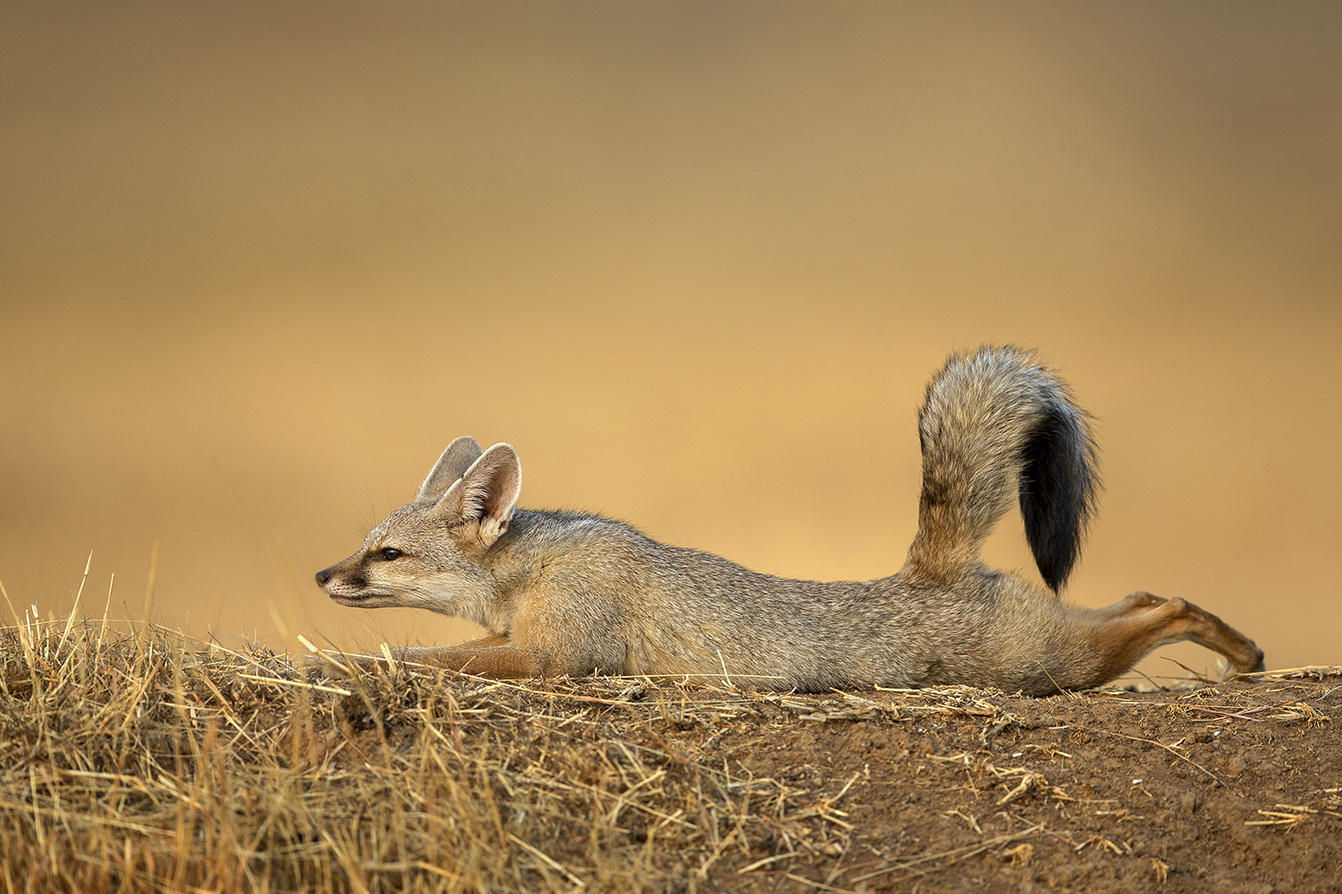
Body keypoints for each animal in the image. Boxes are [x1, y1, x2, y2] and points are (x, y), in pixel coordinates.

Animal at [315, 346, 1264, 695]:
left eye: (385, 554)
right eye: (362, 545)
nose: (322, 574)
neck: (534, 568)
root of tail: (930, 566)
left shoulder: (557, 655)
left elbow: (434, 656)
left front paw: (369, 661)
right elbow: (443, 650)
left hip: (1061, 665)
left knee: (1166, 606)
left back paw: (1244, 652)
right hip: (1072, 641)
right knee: (1143, 594)